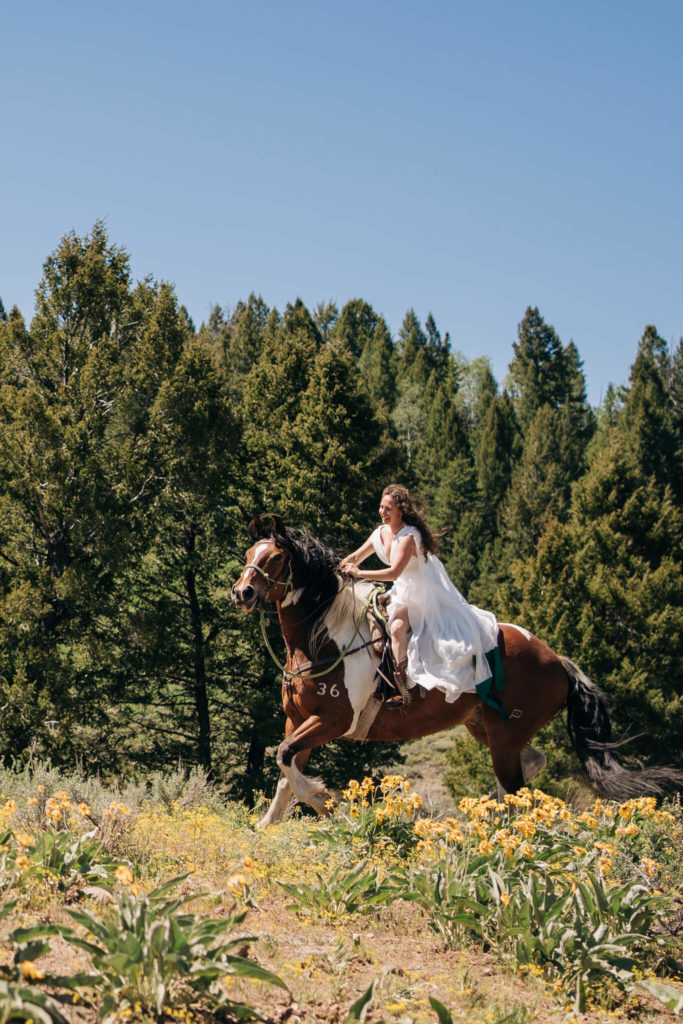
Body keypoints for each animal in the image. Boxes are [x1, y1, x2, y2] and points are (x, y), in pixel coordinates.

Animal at [232, 516, 679, 827]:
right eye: (249, 555)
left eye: (274, 558)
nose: (242, 592)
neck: (323, 639)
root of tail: (558, 661)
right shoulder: (298, 719)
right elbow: (286, 768)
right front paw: (268, 824)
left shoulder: (332, 720)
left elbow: (285, 757)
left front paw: (327, 799)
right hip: (486, 727)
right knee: (531, 765)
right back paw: (487, 818)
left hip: (503, 736)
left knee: (516, 786)